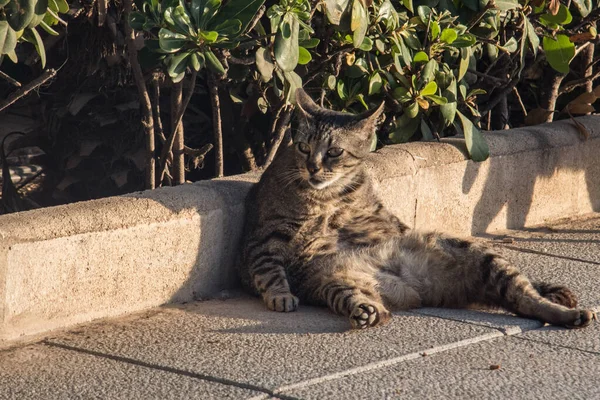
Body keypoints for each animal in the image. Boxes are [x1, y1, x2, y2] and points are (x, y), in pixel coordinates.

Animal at [238, 89, 596, 330]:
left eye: (334, 152)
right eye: (303, 147)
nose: (312, 167)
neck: (331, 195)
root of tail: (413, 289)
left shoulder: (385, 219)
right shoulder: (264, 237)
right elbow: (268, 270)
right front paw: (280, 296)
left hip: (477, 255)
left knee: (525, 296)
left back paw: (566, 309)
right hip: (331, 280)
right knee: (356, 299)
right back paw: (367, 311)